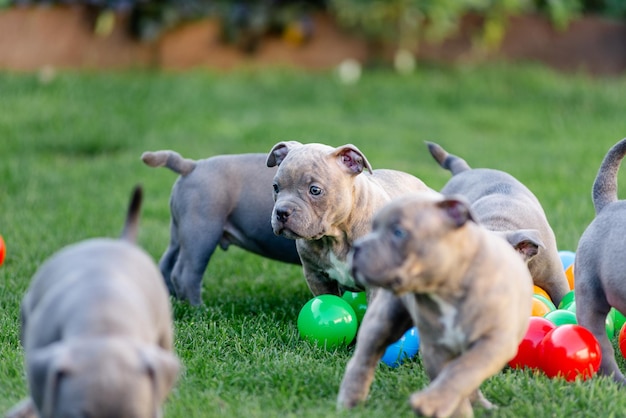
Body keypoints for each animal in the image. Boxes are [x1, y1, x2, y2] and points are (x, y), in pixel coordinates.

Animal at [141, 150, 300, 304]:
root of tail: (192, 166)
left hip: (179, 233)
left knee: (166, 265)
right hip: (201, 235)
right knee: (186, 275)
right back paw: (197, 308)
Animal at [336, 193, 532, 418]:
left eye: (399, 232)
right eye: (374, 227)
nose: (357, 247)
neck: (446, 287)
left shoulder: (492, 344)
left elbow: (462, 372)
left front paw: (434, 402)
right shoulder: (435, 349)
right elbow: (451, 379)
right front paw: (450, 409)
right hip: (382, 321)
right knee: (364, 359)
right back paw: (350, 400)